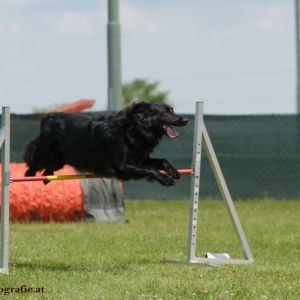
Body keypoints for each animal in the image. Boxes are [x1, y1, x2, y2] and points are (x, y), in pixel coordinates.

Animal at [24, 102, 188, 185]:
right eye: (165, 112)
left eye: (172, 109)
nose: (185, 120)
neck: (133, 128)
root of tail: (47, 117)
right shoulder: (122, 166)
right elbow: (150, 169)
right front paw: (165, 179)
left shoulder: (140, 159)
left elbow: (161, 161)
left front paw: (173, 172)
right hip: (49, 156)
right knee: (31, 157)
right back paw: (29, 174)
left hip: (56, 161)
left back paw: (47, 176)